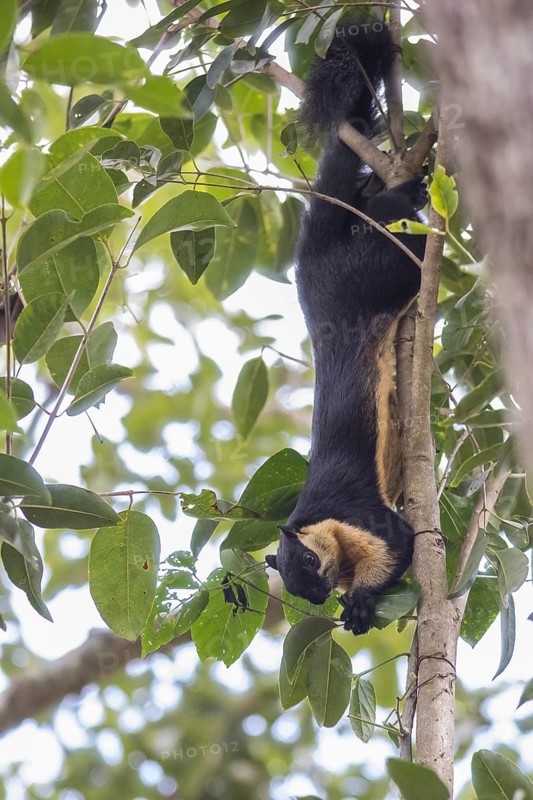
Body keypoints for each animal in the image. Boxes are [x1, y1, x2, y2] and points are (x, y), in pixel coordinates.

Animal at [265, 20, 427, 635]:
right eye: (292, 582)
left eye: (309, 561)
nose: (317, 595)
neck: (319, 519)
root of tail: (310, 274)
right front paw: (350, 606)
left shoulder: (363, 516)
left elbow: (399, 544)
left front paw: (360, 602)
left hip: (382, 269)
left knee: (400, 232)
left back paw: (409, 193)